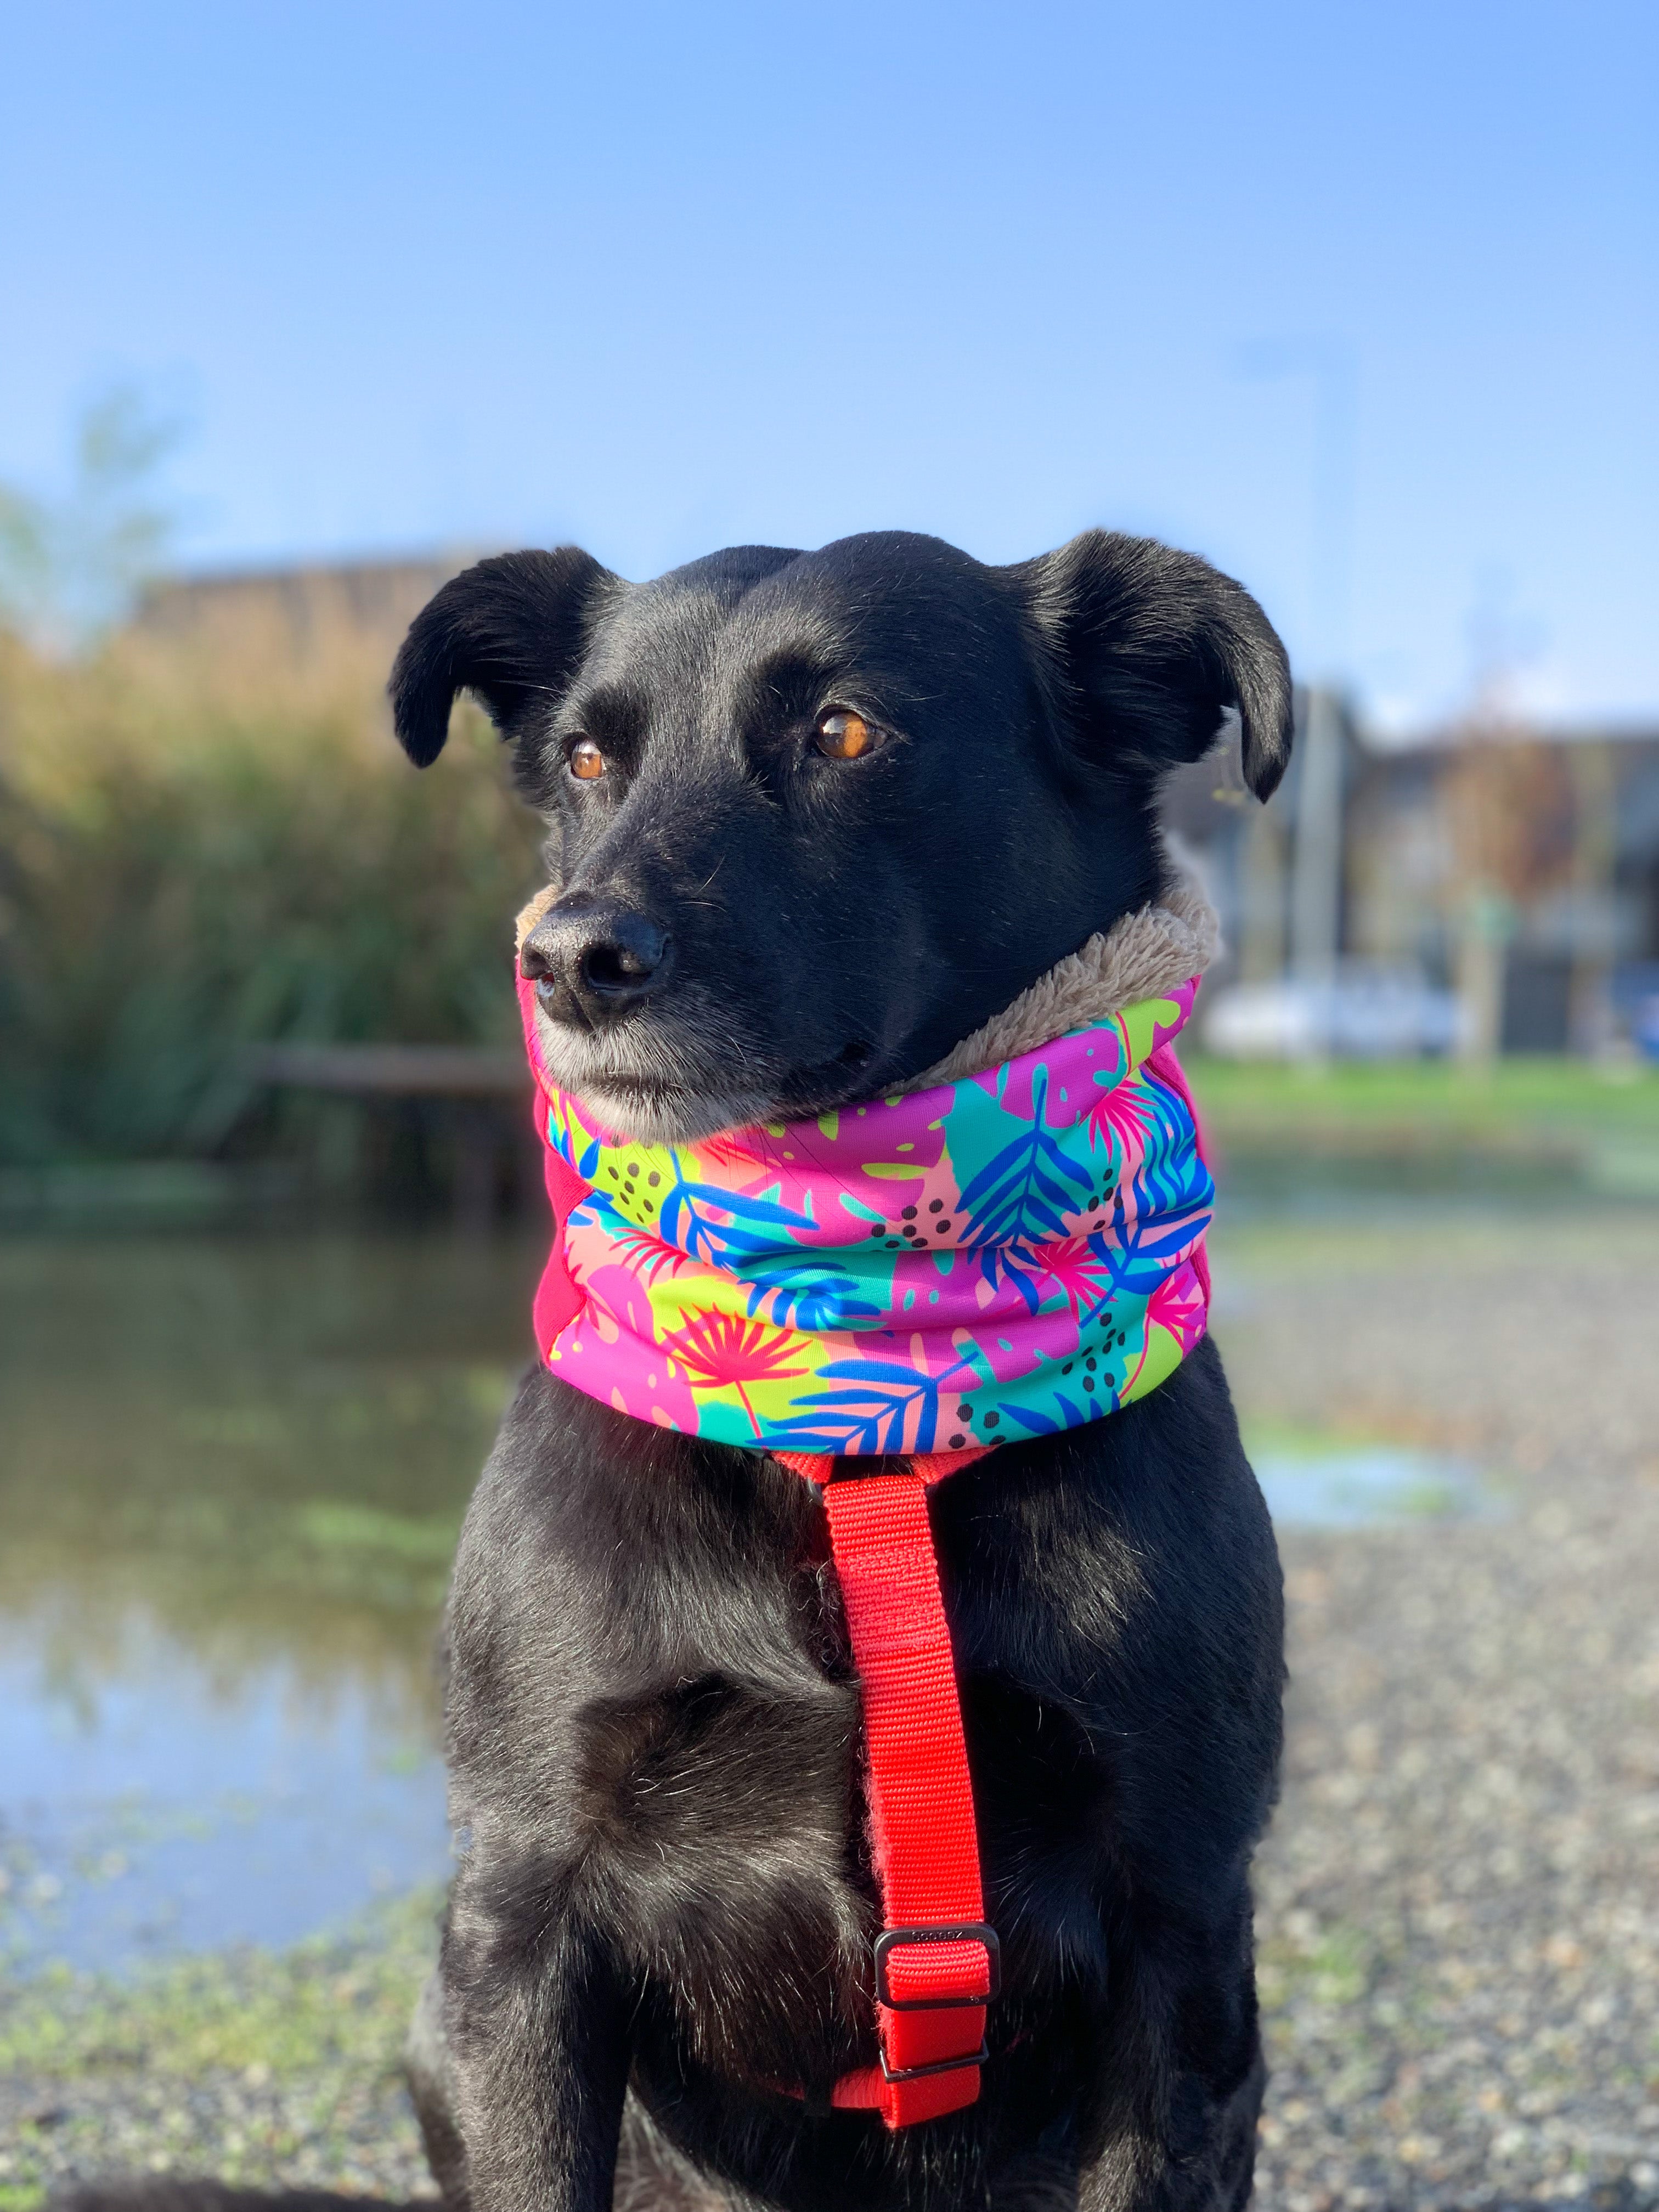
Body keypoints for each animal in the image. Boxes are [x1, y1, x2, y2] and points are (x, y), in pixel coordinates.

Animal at [387, 531, 1283, 2212]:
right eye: (587, 757)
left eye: (844, 733)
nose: (568, 959)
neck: (851, 1410)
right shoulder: (519, 1944)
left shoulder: (1183, 1938)